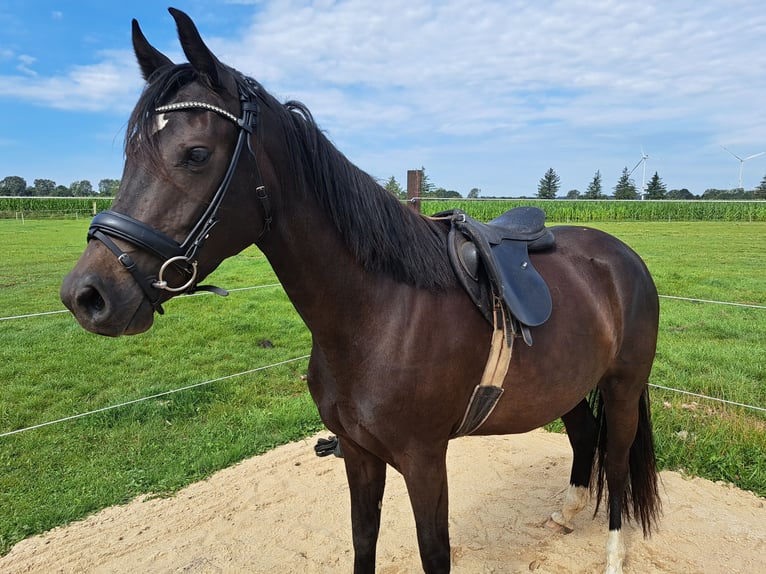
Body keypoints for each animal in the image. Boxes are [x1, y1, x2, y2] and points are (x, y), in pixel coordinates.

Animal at [60, 7, 664, 572]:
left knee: (616, 464)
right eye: (131, 155)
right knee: (584, 439)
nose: (86, 295)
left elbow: (433, 551)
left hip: (623, 387)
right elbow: (363, 540)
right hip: (570, 387)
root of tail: (622, 256)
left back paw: (614, 556)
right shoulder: (357, 454)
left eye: (196, 154)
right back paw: (565, 514)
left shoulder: (425, 461)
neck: (380, 315)